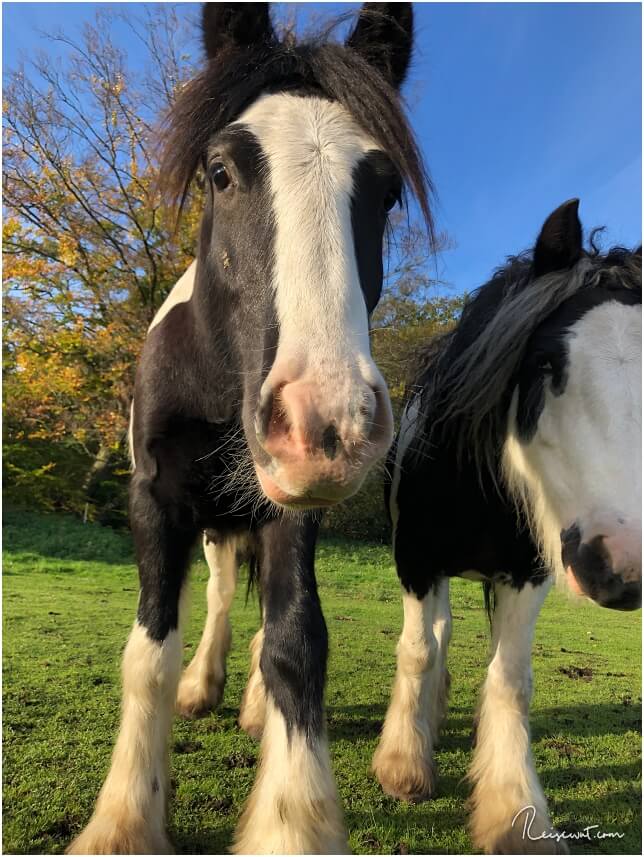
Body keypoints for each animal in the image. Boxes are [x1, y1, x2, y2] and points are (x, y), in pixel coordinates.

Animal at [372, 199, 640, 848]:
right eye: (544, 362)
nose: (619, 566)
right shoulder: (415, 560)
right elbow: (417, 651)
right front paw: (403, 767)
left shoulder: (527, 574)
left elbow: (510, 679)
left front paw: (514, 811)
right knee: (437, 635)